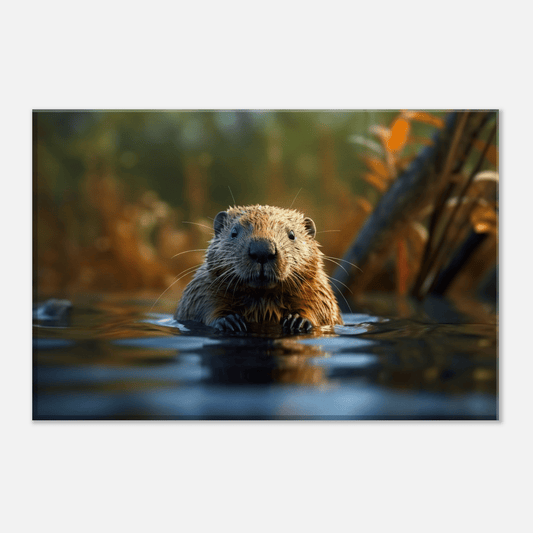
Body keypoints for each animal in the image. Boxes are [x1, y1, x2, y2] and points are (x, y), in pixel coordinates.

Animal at [172, 205, 342, 332]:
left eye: (292, 234)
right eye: (234, 232)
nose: (262, 249)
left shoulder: (318, 288)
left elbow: (321, 306)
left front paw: (298, 320)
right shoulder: (202, 287)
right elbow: (203, 303)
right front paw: (230, 321)